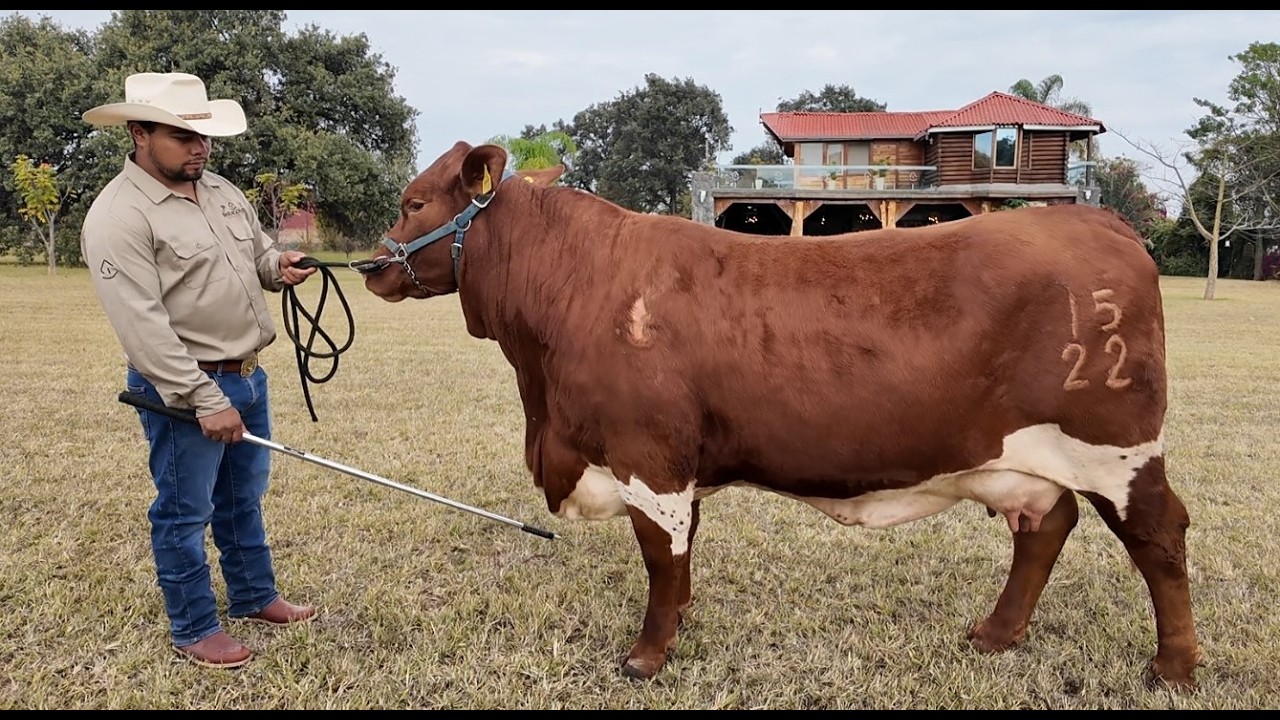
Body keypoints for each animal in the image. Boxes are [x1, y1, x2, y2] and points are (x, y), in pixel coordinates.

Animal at [361, 140, 1201, 690]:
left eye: (412, 202)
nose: (370, 266)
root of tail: (1097, 223)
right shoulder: (678, 463)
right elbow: (682, 553)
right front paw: (681, 622)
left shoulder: (648, 456)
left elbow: (660, 556)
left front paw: (646, 656)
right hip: (1025, 457)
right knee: (1046, 526)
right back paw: (995, 635)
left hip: (1118, 449)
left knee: (1159, 538)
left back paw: (1173, 666)